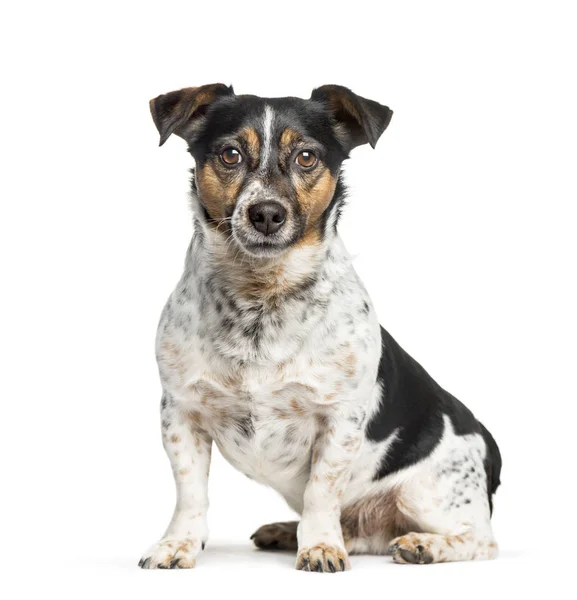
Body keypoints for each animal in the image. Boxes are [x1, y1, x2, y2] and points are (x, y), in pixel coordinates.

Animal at [138, 84, 500, 572]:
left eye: (306, 157)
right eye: (230, 154)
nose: (266, 213)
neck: (262, 296)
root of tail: (485, 441)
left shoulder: (339, 420)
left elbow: (321, 492)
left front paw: (321, 547)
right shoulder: (181, 412)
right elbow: (190, 492)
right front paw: (179, 544)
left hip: (429, 494)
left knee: (480, 539)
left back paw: (425, 545)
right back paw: (285, 531)